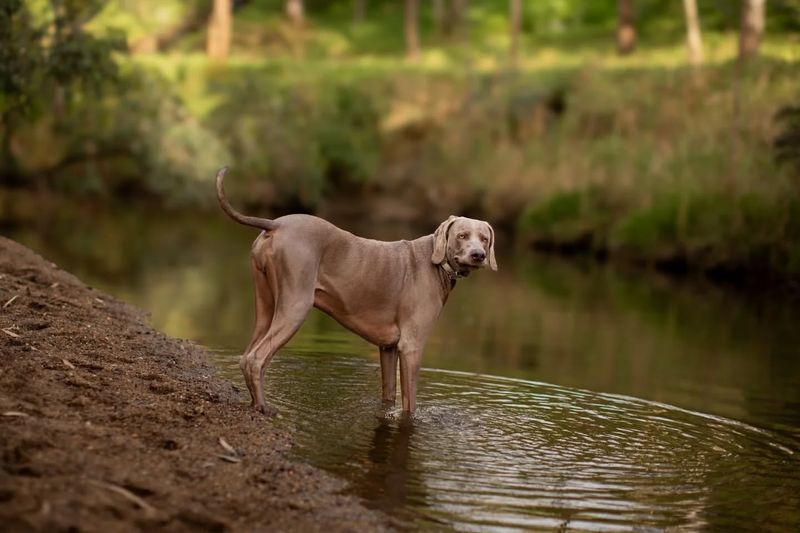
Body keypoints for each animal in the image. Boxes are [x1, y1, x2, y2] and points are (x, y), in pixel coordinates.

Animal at [216, 168, 496, 414]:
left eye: (484, 238)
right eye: (462, 235)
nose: (478, 255)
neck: (435, 263)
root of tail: (276, 223)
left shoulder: (388, 348)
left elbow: (388, 394)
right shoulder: (411, 345)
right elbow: (410, 404)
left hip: (265, 303)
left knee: (247, 356)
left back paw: (255, 403)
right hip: (296, 305)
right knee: (256, 358)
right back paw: (264, 408)